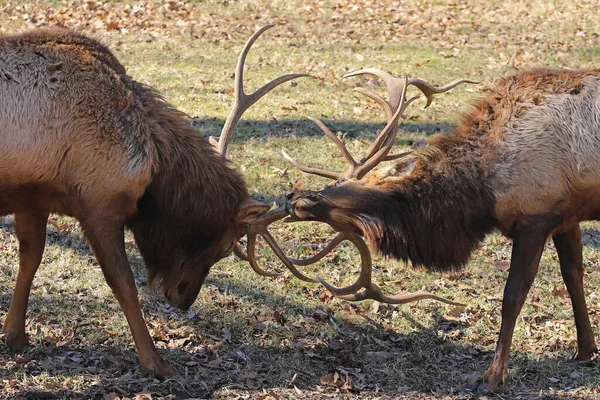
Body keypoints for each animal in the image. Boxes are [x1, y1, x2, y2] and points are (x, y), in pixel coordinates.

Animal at [0, 25, 310, 378]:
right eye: (226, 245)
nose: (184, 299)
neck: (152, 164)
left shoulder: (33, 197)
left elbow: (31, 258)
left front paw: (16, 335)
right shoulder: (99, 203)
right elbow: (124, 283)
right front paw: (156, 361)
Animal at [278, 67, 600, 390]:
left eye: (347, 185)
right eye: (339, 181)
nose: (294, 198)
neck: (481, 193)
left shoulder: (534, 216)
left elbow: (512, 296)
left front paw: (492, 376)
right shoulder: (566, 216)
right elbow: (573, 277)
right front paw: (585, 351)